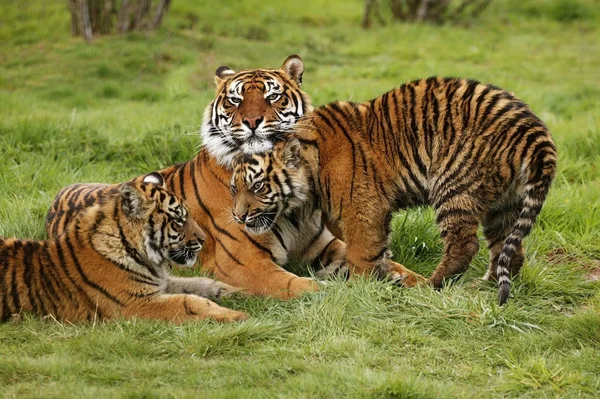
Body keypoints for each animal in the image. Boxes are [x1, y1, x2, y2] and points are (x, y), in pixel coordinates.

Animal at [1, 173, 246, 324]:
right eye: (178, 220)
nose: (204, 239)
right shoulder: (135, 303)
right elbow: (189, 301)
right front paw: (238, 315)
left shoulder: (159, 283)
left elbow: (200, 284)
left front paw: (241, 293)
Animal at [47, 55, 346, 300]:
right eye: (235, 100)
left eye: (272, 96)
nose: (251, 122)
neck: (292, 203)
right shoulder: (244, 263)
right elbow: (301, 285)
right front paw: (334, 291)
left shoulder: (322, 244)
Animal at [231, 76, 556, 304]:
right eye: (234, 189)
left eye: (258, 186)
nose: (237, 217)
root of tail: (533, 129)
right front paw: (384, 273)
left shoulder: (363, 208)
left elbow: (362, 252)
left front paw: (358, 290)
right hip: (505, 203)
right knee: (508, 250)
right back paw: (486, 284)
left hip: (454, 186)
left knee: (464, 245)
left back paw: (429, 286)